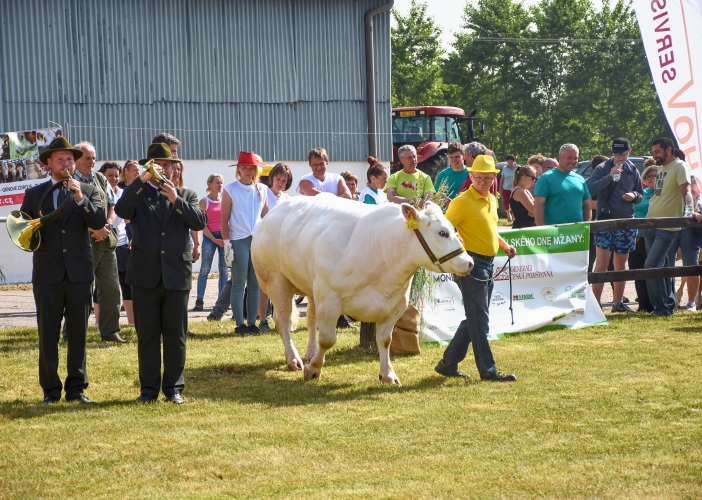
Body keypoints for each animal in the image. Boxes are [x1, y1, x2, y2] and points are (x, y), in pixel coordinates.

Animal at [250, 195, 476, 386]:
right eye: (443, 232)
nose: (470, 263)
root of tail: (280, 206)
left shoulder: (396, 305)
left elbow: (385, 340)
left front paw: (388, 374)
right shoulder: (330, 299)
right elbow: (328, 339)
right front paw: (313, 370)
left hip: (312, 286)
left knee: (311, 318)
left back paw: (310, 353)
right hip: (275, 280)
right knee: (283, 320)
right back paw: (294, 359)